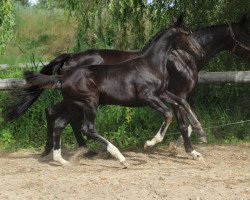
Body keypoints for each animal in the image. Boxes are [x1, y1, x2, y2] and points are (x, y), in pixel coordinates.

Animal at [23, 17, 202, 166]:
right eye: (187, 34)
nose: (198, 51)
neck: (150, 65)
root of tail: (63, 77)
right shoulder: (148, 97)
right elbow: (168, 114)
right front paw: (149, 143)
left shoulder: (162, 93)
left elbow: (182, 102)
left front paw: (199, 130)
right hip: (89, 103)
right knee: (87, 128)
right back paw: (119, 157)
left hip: (75, 106)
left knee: (59, 123)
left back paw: (61, 159)